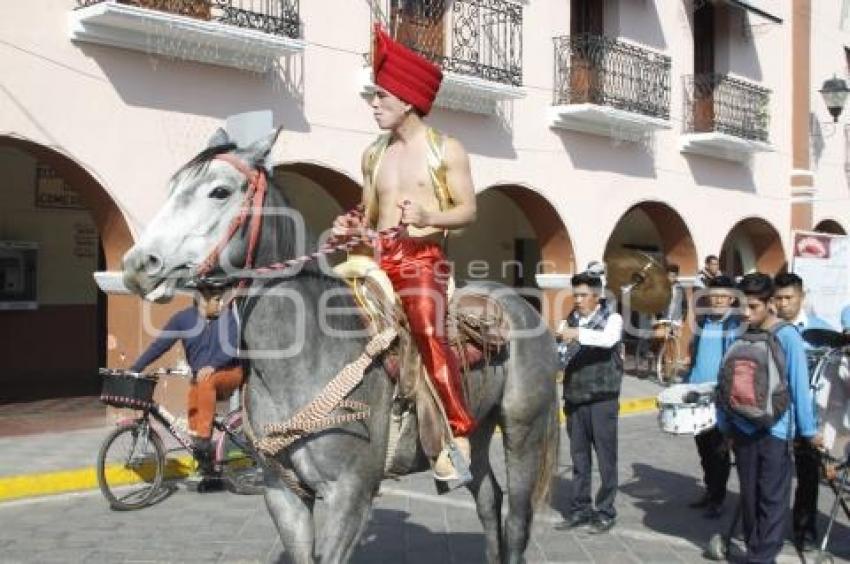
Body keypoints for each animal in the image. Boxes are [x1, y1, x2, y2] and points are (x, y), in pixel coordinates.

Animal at [119, 129, 556, 564]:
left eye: (220, 191)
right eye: (172, 187)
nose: (139, 265)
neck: (305, 357)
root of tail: (522, 306)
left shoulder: (349, 494)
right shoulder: (282, 492)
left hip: (523, 431)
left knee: (516, 519)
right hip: (480, 431)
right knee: (488, 502)